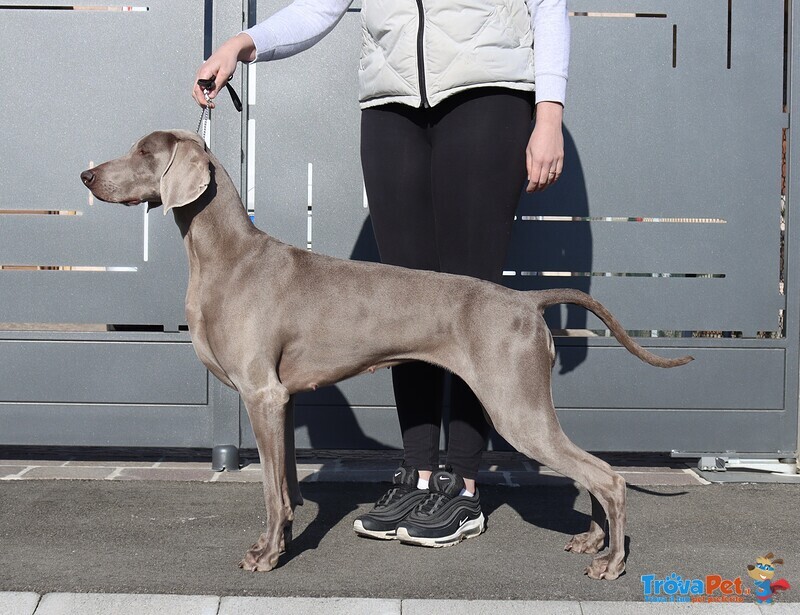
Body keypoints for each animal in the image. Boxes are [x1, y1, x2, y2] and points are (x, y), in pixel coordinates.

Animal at [83, 130, 692, 584]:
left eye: (145, 152)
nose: (86, 177)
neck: (228, 256)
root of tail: (526, 298)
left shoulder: (262, 394)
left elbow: (271, 494)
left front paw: (267, 555)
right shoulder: (281, 400)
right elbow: (285, 487)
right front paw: (280, 538)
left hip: (516, 409)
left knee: (608, 476)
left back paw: (612, 561)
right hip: (526, 406)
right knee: (594, 472)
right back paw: (592, 539)